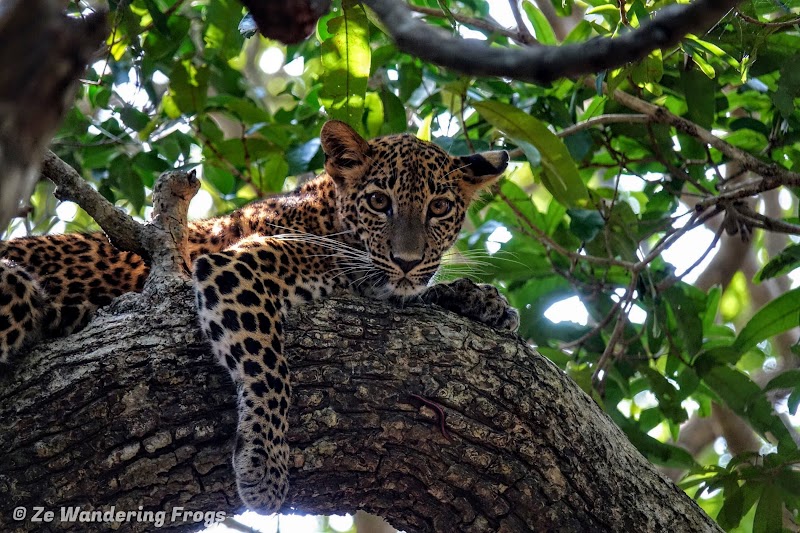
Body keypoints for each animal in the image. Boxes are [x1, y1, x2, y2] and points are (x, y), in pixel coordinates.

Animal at [0, 119, 520, 512]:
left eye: (440, 207)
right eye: (379, 202)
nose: (408, 260)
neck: (329, 216)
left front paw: (483, 301)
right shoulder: (236, 268)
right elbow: (270, 369)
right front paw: (264, 464)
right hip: (16, 286)